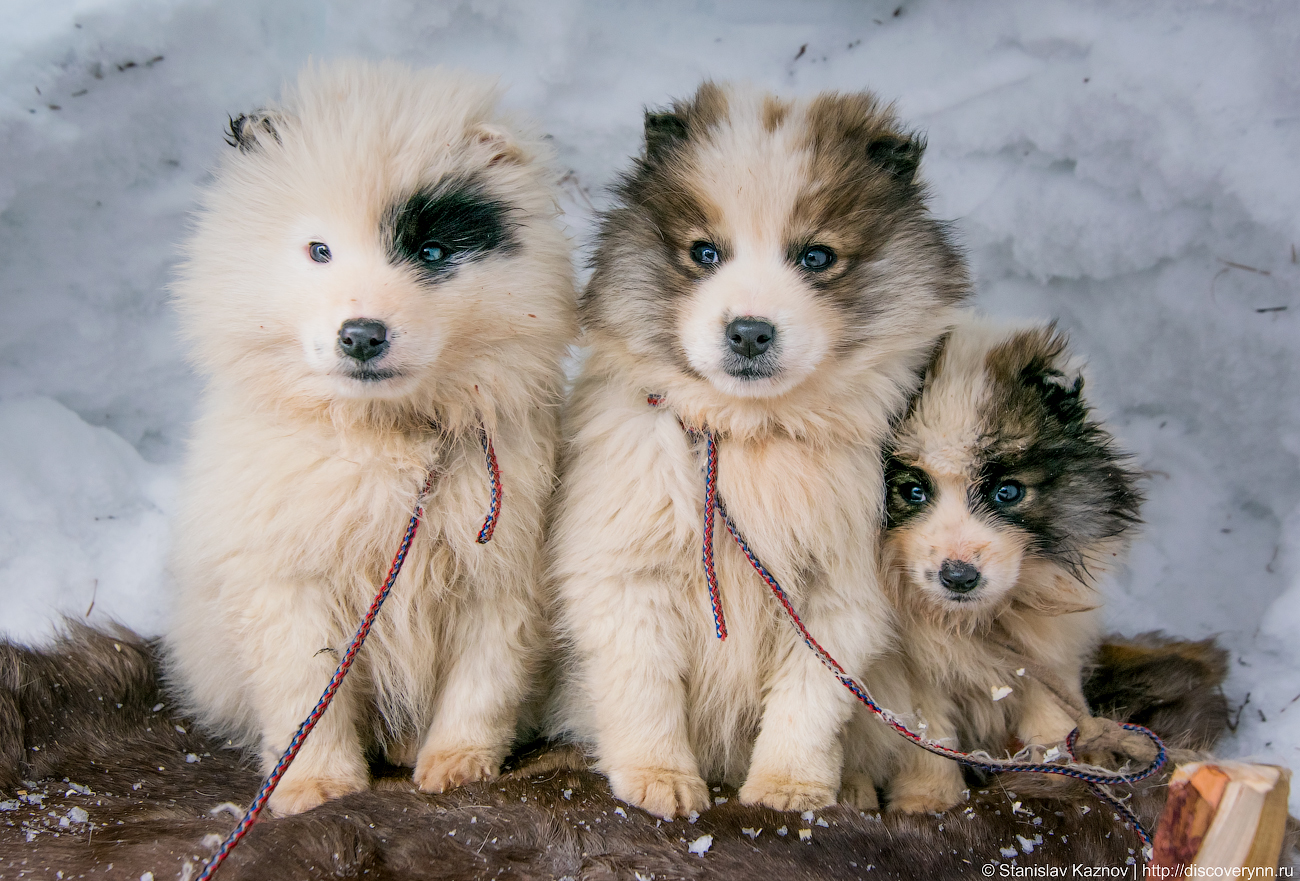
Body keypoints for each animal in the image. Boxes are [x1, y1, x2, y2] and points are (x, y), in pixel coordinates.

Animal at [162, 60, 574, 821]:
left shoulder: (501, 574)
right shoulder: (289, 578)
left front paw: (457, 768)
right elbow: (306, 688)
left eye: (432, 252)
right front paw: (316, 784)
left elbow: (484, 680)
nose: (361, 334)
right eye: (319, 251)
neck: (389, 433)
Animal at [546, 81, 967, 821]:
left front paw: (790, 788)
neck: (750, 436)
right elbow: (644, 688)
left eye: (816, 257)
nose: (748, 332)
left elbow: (810, 700)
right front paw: (659, 779)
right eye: (704, 253)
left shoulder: (839, 594)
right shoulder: (626, 571)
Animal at [842, 315, 1138, 816]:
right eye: (912, 491)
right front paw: (927, 799)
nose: (958, 577)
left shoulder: (1041, 650)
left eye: (1008, 492)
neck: (970, 622)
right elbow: (927, 734)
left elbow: (1049, 709)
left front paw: (1062, 772)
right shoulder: (909, 674)